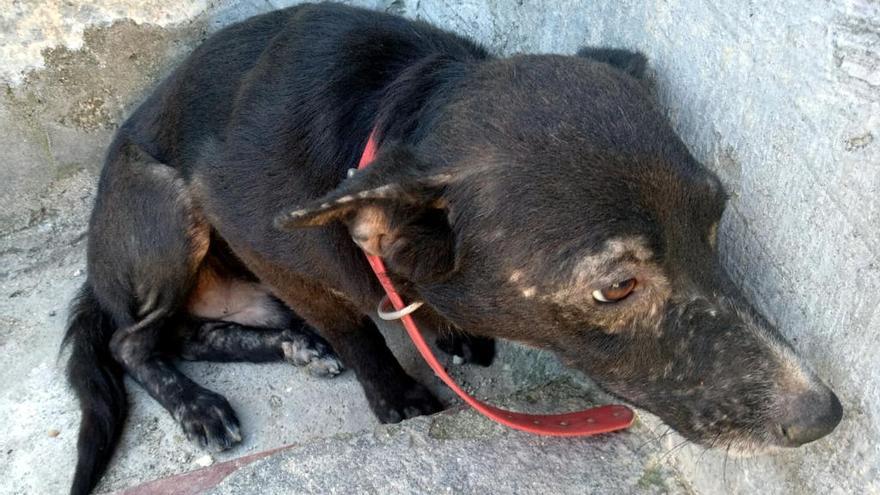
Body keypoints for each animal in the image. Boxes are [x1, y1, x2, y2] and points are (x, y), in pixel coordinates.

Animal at [63, 4, 844, 495]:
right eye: (616, 287)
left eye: (716, 219)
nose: (825, 416)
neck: (386, 113)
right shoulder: (259, 235)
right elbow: (355, 330)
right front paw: (397, 393)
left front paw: (445, 330)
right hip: (167, 205)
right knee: (135, 342)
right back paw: (201, 400)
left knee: (194, 332)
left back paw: (292, 346)